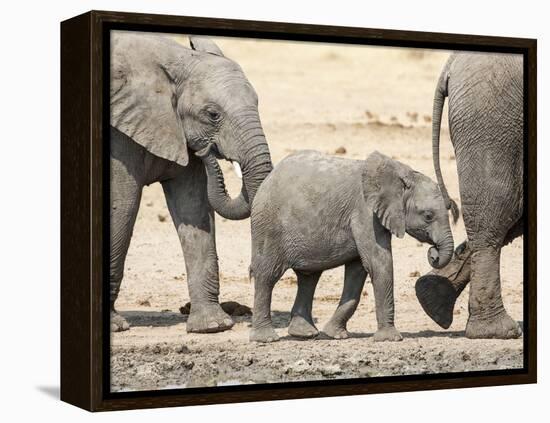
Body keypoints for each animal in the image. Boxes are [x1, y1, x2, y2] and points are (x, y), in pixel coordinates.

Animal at [110, 31, 274, 332]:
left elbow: (195, 207)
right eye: (212, 115)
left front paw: (212, 326)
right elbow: (122, 206)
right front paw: (115, 327)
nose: (207, 151)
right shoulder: (119, 134)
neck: (176, 60)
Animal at [250, 151, 458, 342]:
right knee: (267, 275)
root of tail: (268, 179)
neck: (402, 174)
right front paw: (390, 339)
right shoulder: (365, 212)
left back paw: (305, 334)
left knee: (308, 277)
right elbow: (378, 263)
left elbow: (358, 271)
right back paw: (266, 338)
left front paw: (335, 335)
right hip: (268, 226)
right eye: (428, 216)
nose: (434, 253)